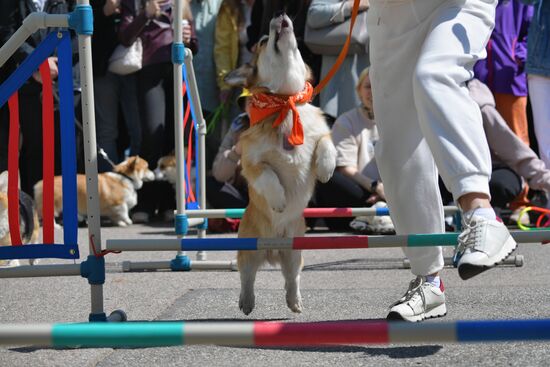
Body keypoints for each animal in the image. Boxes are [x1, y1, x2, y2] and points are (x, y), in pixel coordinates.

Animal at [225, 12, 338, 316]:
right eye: (264, 40)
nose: (280, 14)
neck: (285, 101)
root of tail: (273, 249)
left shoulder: (320, 135)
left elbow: (326, 144)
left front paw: (326, 169)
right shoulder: (252, 162)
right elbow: (269, 176)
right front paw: (278, 201)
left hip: (294, 254)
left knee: (292, 278)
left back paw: (294, 302)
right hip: (249, 251)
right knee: (247, 277)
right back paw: (247, 302)